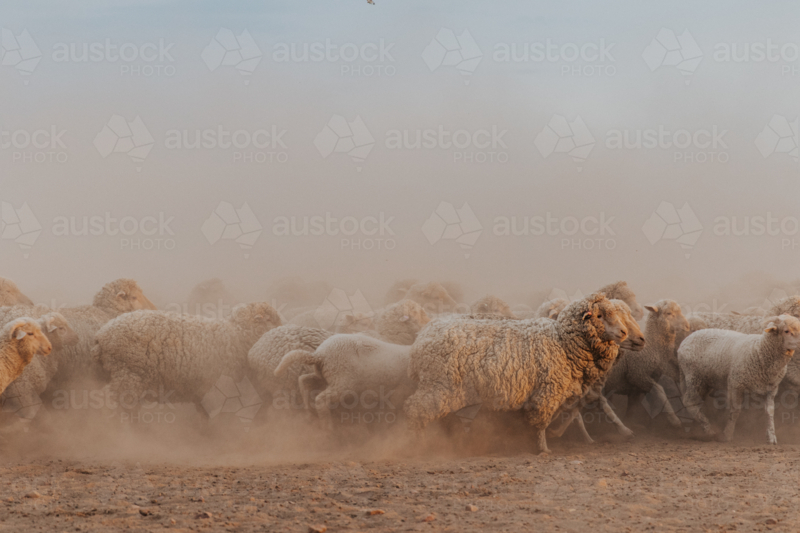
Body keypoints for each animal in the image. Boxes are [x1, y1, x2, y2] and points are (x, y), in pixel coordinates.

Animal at [274, 334, 414, 428]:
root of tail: (320, 354)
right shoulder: (400, 390)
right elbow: (392, 409)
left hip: (325, 376)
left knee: (303, 380)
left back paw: (310, 411)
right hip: (343, 382)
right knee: (321, 399)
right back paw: (328, 427)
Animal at [403, 293, 630, 454]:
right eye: (599, 316)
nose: (624, 332)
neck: (563, 341)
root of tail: (421, 337)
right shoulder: (547, 392)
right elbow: (541, 422)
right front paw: (542, 448)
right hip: (438, 386)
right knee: (415, 410)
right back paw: (418, 442)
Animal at [602, 300, 690, 428]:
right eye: (669, 313)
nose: (687, 326)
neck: (652, 347)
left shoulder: (637, 387)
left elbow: (634, 408)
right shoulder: (638, 375)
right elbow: (660, 390)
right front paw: (674, 419)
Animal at [678, 315, 800, 444]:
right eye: (786, 331)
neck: (759, 351)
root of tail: (684, 342)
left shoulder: (771, 388)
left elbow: (769, 412)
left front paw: (771, 436)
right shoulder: (736, 384)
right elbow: (735, 411)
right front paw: (727, 434)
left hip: (705, 381)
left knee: (695, 402)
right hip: (694, 377)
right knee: (689, 402)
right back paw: (709, 430)